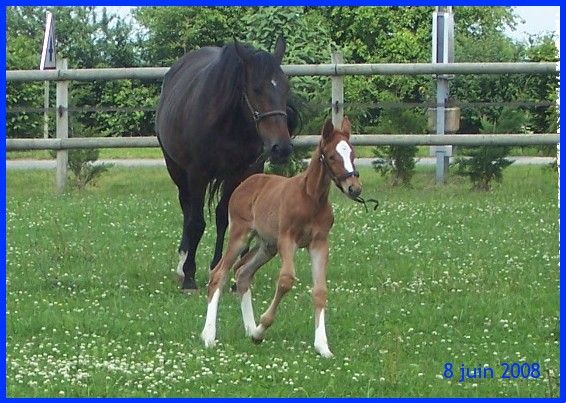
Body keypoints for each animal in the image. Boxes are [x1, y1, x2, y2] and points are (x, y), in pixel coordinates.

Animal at [155, 36, 298, 292]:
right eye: (256, 89)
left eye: (285, 87)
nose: (281, 148)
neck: (228, 121)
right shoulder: (197, 174)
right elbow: (196, 222)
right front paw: (189, 276)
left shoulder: (241, 173)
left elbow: (226, 218)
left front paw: (227, 270)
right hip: (177, 170)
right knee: (187, 210)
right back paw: (182, 265)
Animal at [203, 116, 364, 356]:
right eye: (332, 156)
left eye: (353, 155)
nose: (354, 188)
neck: (310, 199)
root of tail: (245, 183)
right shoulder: (288, 240)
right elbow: (286, 280)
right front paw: (262, 328)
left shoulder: (319, 243)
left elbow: (320, 291)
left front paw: (322, 346)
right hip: (240, 235)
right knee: (219, 274)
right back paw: (209, 335)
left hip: (267, 246)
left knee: (242, 273)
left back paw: (250, 329)